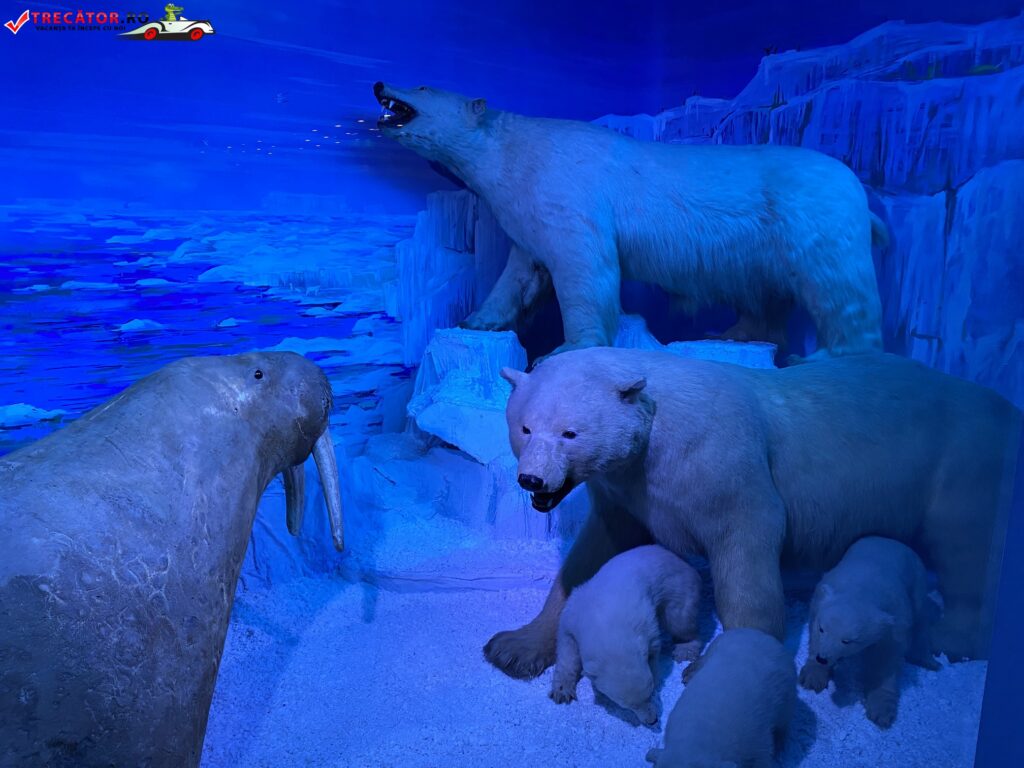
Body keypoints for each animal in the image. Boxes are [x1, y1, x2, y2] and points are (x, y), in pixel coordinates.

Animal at [373, 81, 886, 359]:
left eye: (422, 86)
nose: (380, 86)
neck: (514, 152)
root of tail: (860, 192)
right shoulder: (525, 212)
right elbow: (519, 274)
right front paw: (475, 322)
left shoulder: (565, 192)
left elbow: (583, 268)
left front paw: (566, 348)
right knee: (766, 293)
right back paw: (733, 335)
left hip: (815, 217)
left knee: (836, 285)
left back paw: (827, 354)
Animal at [482, 347, 1020, 681]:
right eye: (525, 427)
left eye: (570, 433)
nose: (532, 481)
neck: (655, 431)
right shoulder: (627, 491)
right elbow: (590, 559)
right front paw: (513, 646)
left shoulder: (718, 460)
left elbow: (747, 543)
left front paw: (725, 664)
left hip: (961, 462)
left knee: (965, 545)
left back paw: (956, 635)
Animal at [549, 544, 703, 725]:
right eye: (627, 706)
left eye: (650, 693)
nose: (652, 720)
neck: (605, 620)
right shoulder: (573, 615)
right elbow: (567, 649)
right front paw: (561, 690)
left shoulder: (644, 619)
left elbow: (654, 646)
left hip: (678, 585)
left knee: (680, 620)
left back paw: (685, 648)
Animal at [799, 536, 942, 729]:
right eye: (822, 629)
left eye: (848, 641)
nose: (823, 658)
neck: (861, 589)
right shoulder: (822, 595)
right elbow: (813, 632)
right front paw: (813, 676)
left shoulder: (895, 619)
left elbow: (886, 658)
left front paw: (881, 710)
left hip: (918, 578)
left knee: (921, 617)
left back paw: (929, 661)